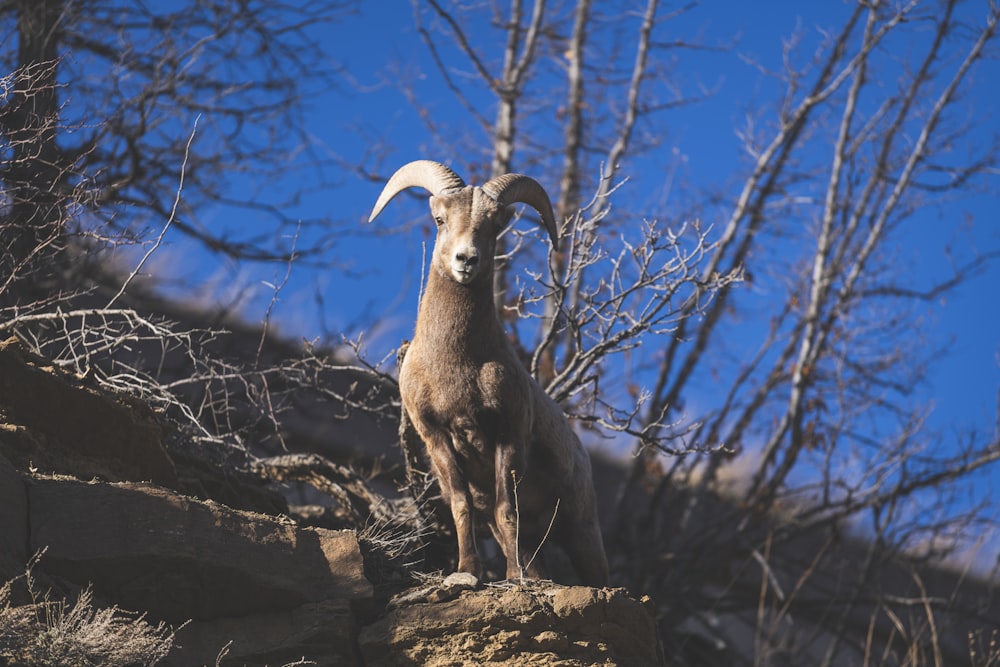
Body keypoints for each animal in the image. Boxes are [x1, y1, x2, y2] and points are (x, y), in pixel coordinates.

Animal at [370, 160, 608, 584]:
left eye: (495, 226)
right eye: (440, 219)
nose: (466, 260)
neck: (456, 363)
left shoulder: (507, 433)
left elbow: (505, 507)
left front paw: (513, 577)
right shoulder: (438, 438)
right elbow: (462, 505)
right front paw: (467, 572)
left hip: (581, 527)